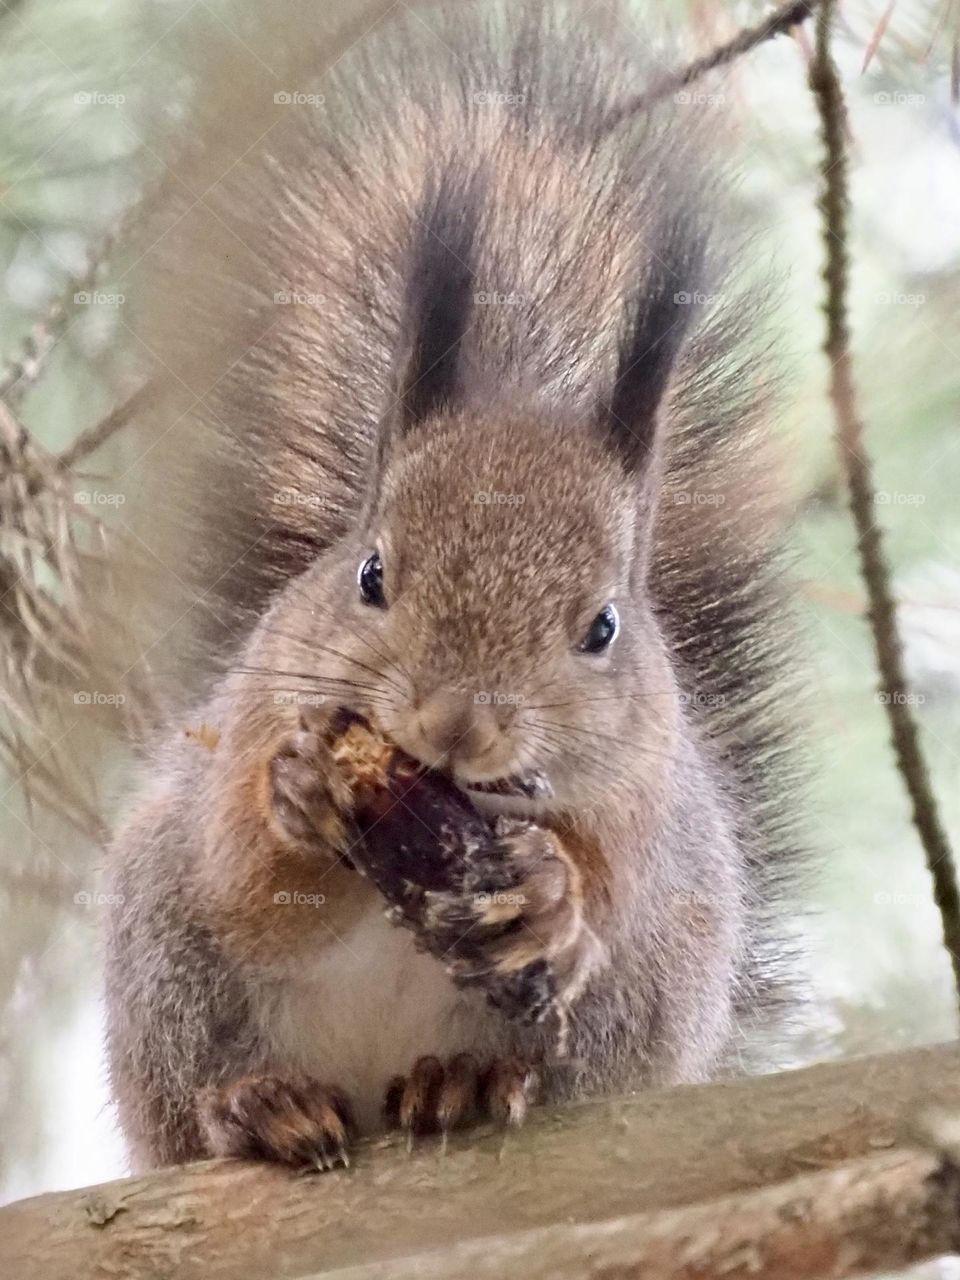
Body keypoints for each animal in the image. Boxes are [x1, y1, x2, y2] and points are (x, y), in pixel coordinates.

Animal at [103, 1, 806, 1172]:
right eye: (370, 572)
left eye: (604, 626)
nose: (456, 723)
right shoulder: (247, 725)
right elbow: (250, 881)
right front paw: (297, 800)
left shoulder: (643, 800)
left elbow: (607, 887)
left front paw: (553, 897)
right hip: (163, 958)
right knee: (193, 1079)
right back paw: (257, 1105)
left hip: (650, 1000)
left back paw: (468, 1080)